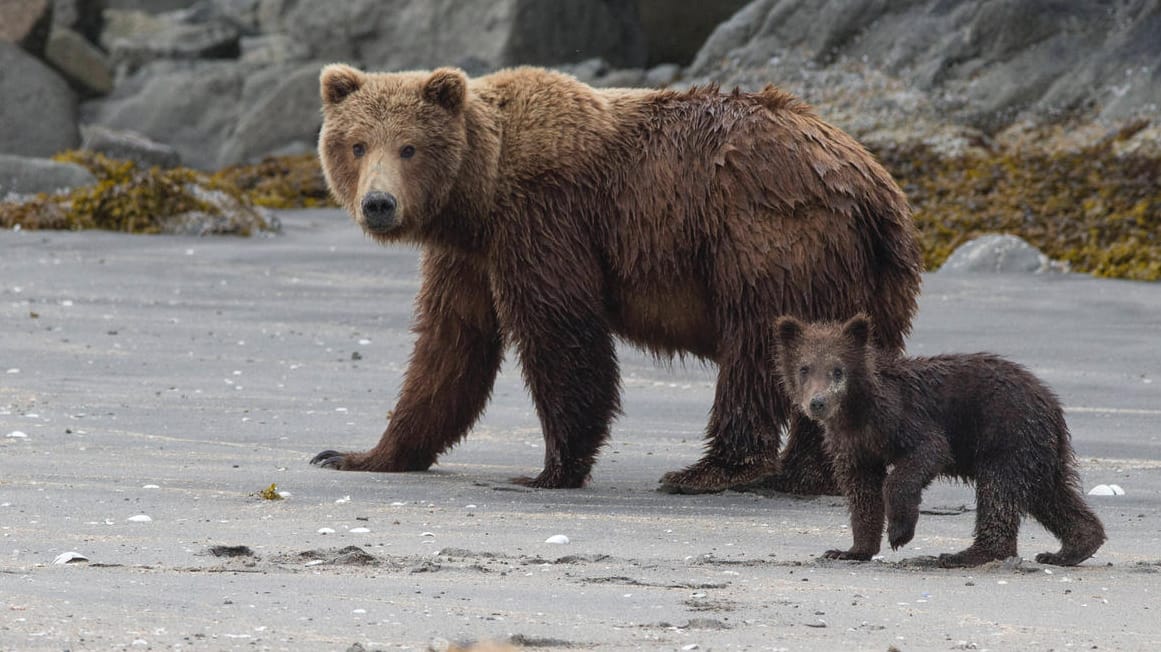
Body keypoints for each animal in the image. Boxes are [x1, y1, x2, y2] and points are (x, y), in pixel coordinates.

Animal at [311, 64, 924, 491]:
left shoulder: (545, 218)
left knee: (757, 348)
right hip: (872, 277)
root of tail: (873, 184)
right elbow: (449, 348)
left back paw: (709, 471)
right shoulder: (468, 256)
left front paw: (550, 470)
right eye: (357, 144)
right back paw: (803, 475)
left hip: (769, 237)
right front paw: (358, 455)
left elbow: (561, 333)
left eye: (409, 147)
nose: (379, 204)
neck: (480, 193)